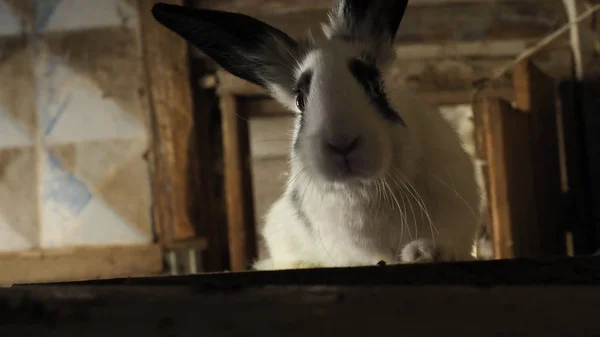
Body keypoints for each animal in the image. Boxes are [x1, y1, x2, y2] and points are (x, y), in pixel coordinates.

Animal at [151, 0, 492, 270]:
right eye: (301, 100)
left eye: (375, 86)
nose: (342, 143)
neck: (366, 188)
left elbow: (444, 242)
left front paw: (423, 252)